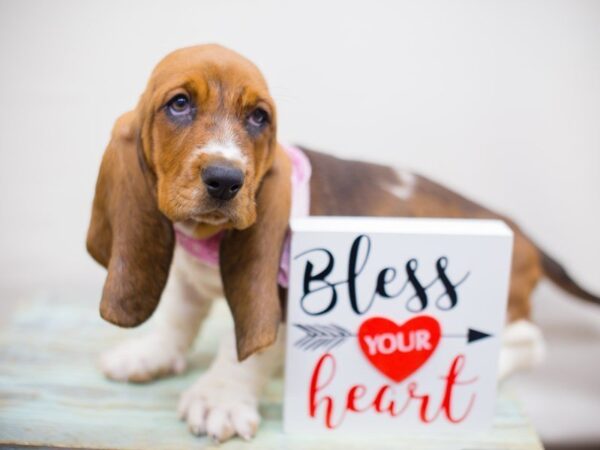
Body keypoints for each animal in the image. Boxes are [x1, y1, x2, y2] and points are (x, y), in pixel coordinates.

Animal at [85, 44, 600, 442]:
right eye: (179, 104)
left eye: (258, 117)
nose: (227, 179)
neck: (205, 238)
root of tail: (519, 229)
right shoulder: (190, 278)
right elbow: (179, 316)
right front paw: (149, 354)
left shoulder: (275, 295)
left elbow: (244, 346)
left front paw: (220, 398)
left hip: (507, 302)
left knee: (530, 342)